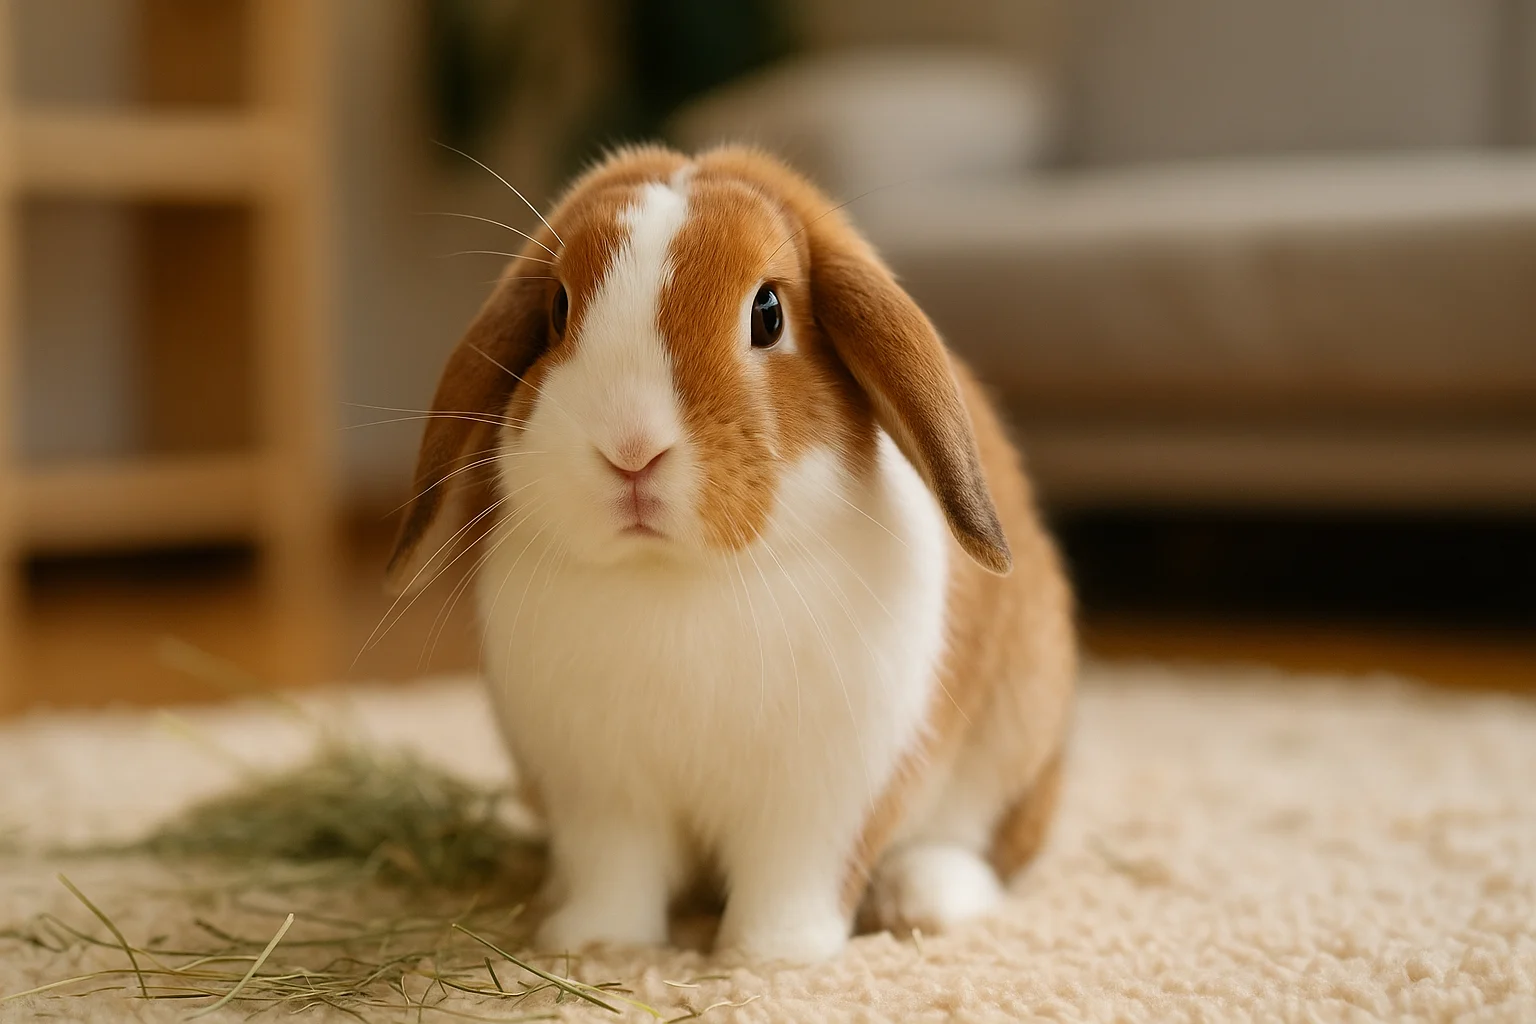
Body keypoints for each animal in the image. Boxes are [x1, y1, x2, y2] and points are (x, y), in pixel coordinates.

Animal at [388, 145, 1076, 963]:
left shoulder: (822, 802)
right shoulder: (602, 799)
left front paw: (769, 957)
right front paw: (594, 945)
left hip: (1016, 744)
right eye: (557, 309)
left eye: (768, 313)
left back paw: (923, 898)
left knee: (989, 848)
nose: (630, 450)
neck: (678, 579)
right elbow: (615, 872)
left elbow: (794, 879)